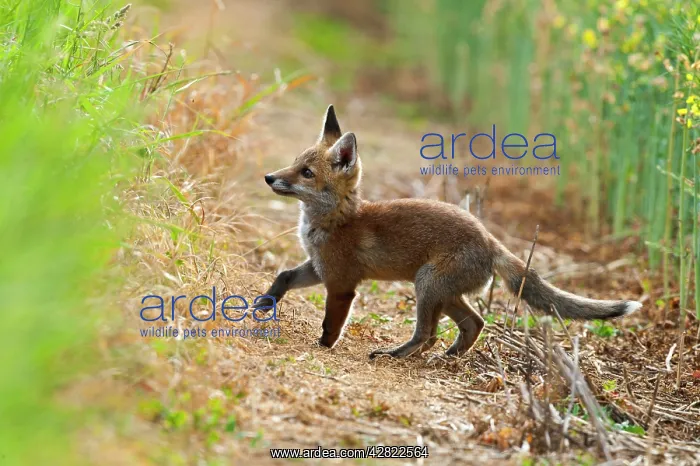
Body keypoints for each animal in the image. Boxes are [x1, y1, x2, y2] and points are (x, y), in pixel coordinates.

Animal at [256, 105, 642, 359]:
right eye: (295, 163)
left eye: (306, 173)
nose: (269, 177)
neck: (333, 221)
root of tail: (490, 240)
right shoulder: (318, 267)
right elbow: (284, 275)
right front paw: (264, 302)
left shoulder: (341, 282)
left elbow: (331, 322)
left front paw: (324, 345)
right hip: (444, 293)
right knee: (475, 322)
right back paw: (450, 357)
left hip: (427, 287)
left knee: (427, 334)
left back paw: (397, 354)